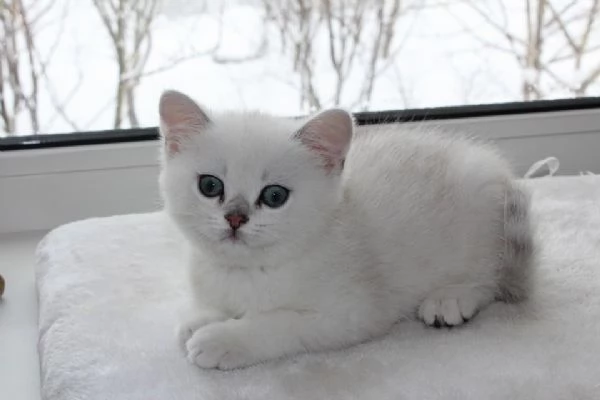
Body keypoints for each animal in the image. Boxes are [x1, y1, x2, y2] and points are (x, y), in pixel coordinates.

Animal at [157, 90, 532, 368]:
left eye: (274, 196)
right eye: (210, 186)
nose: (235, 218)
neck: (244, 272)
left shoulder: (356, 311)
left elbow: (281, 322)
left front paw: (222, 339)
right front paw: (201, 319)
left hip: (481, 213)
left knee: (490, 276)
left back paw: (451, 297)